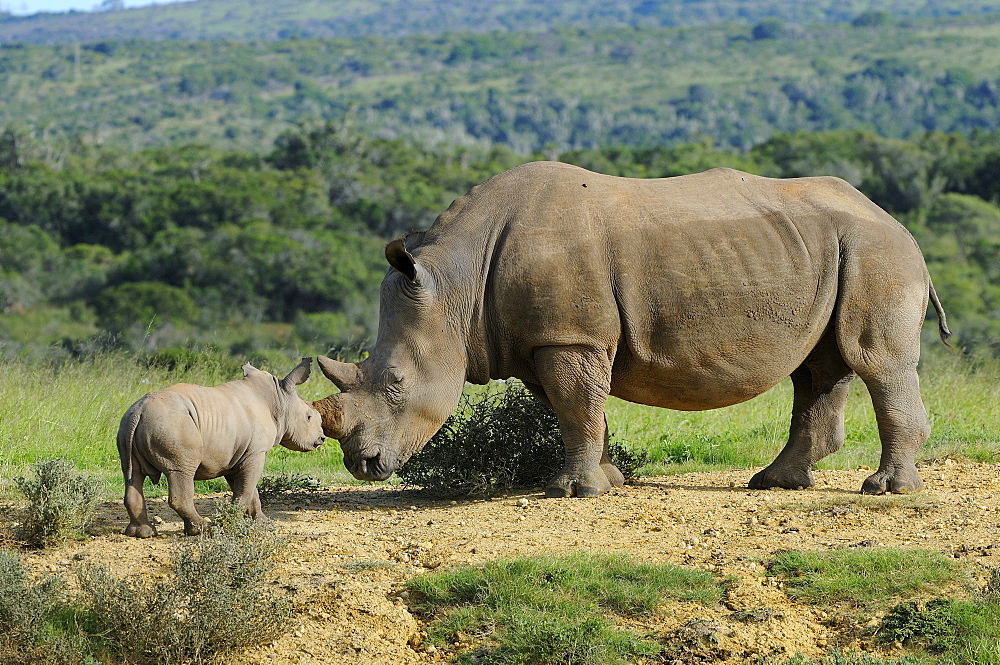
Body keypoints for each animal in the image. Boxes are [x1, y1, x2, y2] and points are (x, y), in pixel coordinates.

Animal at [116, 358, 322, 536]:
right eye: (309, 417)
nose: (321, 438)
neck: (280, 400)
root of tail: (139, 411)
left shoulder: (237, 454)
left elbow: (248, 489)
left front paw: (262, 522)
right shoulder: (255, 452)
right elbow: (246, 489)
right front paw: (229, 522)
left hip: (127, 426)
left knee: (132, 474)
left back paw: (143, 533)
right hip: (171, 425)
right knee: (182, 472)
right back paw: (203, 528)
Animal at [310, 162, 944, 498]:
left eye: (395, 382)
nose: (361, 466)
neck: (455, 283)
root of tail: (897, 222)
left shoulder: (569, 335)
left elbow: (575, 405)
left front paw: (571, 491)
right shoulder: (548, 339)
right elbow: (579, 410)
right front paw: (608, 480)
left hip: (877, 251)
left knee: (876, 361)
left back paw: (886, 489)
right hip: (832, 251)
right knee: (820, 368)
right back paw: (775, 483)